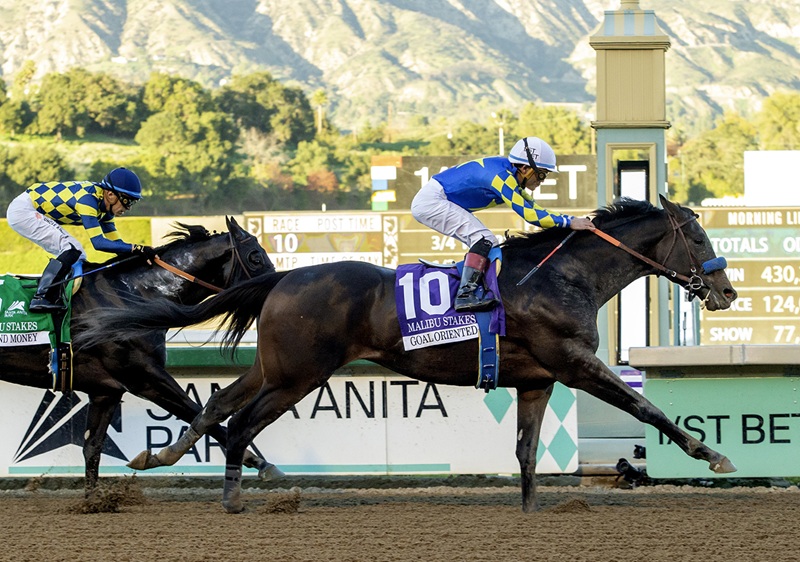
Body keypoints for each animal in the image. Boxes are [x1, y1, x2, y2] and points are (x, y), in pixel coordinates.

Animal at [1, 216, 280, 494]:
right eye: (255, 257)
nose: (276, 290)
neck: (136, 294)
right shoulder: (145, 377)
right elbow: (199, 414)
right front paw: (262, 463)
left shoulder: (106, 391)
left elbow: (92, 447)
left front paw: (94, 500)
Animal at [77, 196, 738, 512]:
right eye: (697, 234)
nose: (727, 291)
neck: (561, 276)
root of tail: (283, 278)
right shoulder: (575, 365)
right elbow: (645, 408)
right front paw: (712, 454)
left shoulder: (537, 380)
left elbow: (527, 453)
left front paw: (531, 512)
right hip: (299, 375)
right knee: (238, 424)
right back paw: (236, 497)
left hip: (275, 365)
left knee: (214, 408)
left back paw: (157, 459)